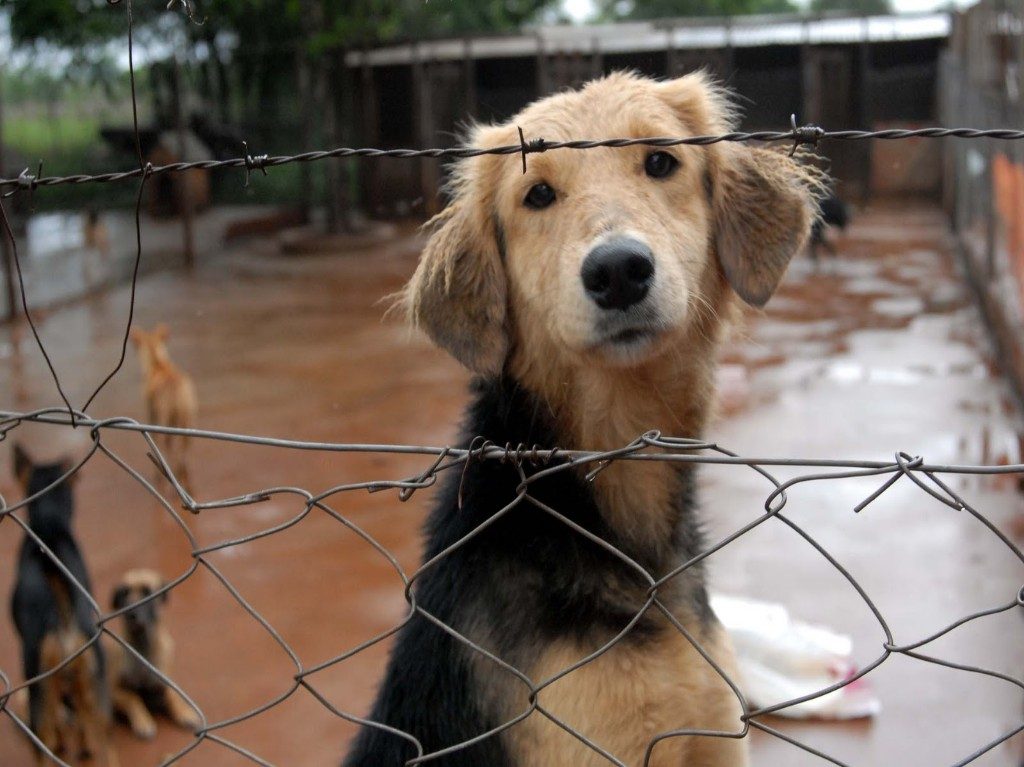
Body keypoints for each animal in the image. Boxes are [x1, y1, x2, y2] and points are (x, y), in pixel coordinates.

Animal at [104, 569, 200, 737]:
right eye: (124, 593)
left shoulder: (165, 683)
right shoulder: (115, 692)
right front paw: (143, 721)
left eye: (147, 592)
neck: (143, 650)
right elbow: (133, 698)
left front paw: (184, 712)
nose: (130, 613)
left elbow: (173, 695)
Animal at [129, 325, 196, 487]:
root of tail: (176, 389)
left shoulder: (151, 411)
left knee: (169, 448)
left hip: (166, 419)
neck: (157, 362)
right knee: (184, 449)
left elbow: (154, 437)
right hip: (188, 420)